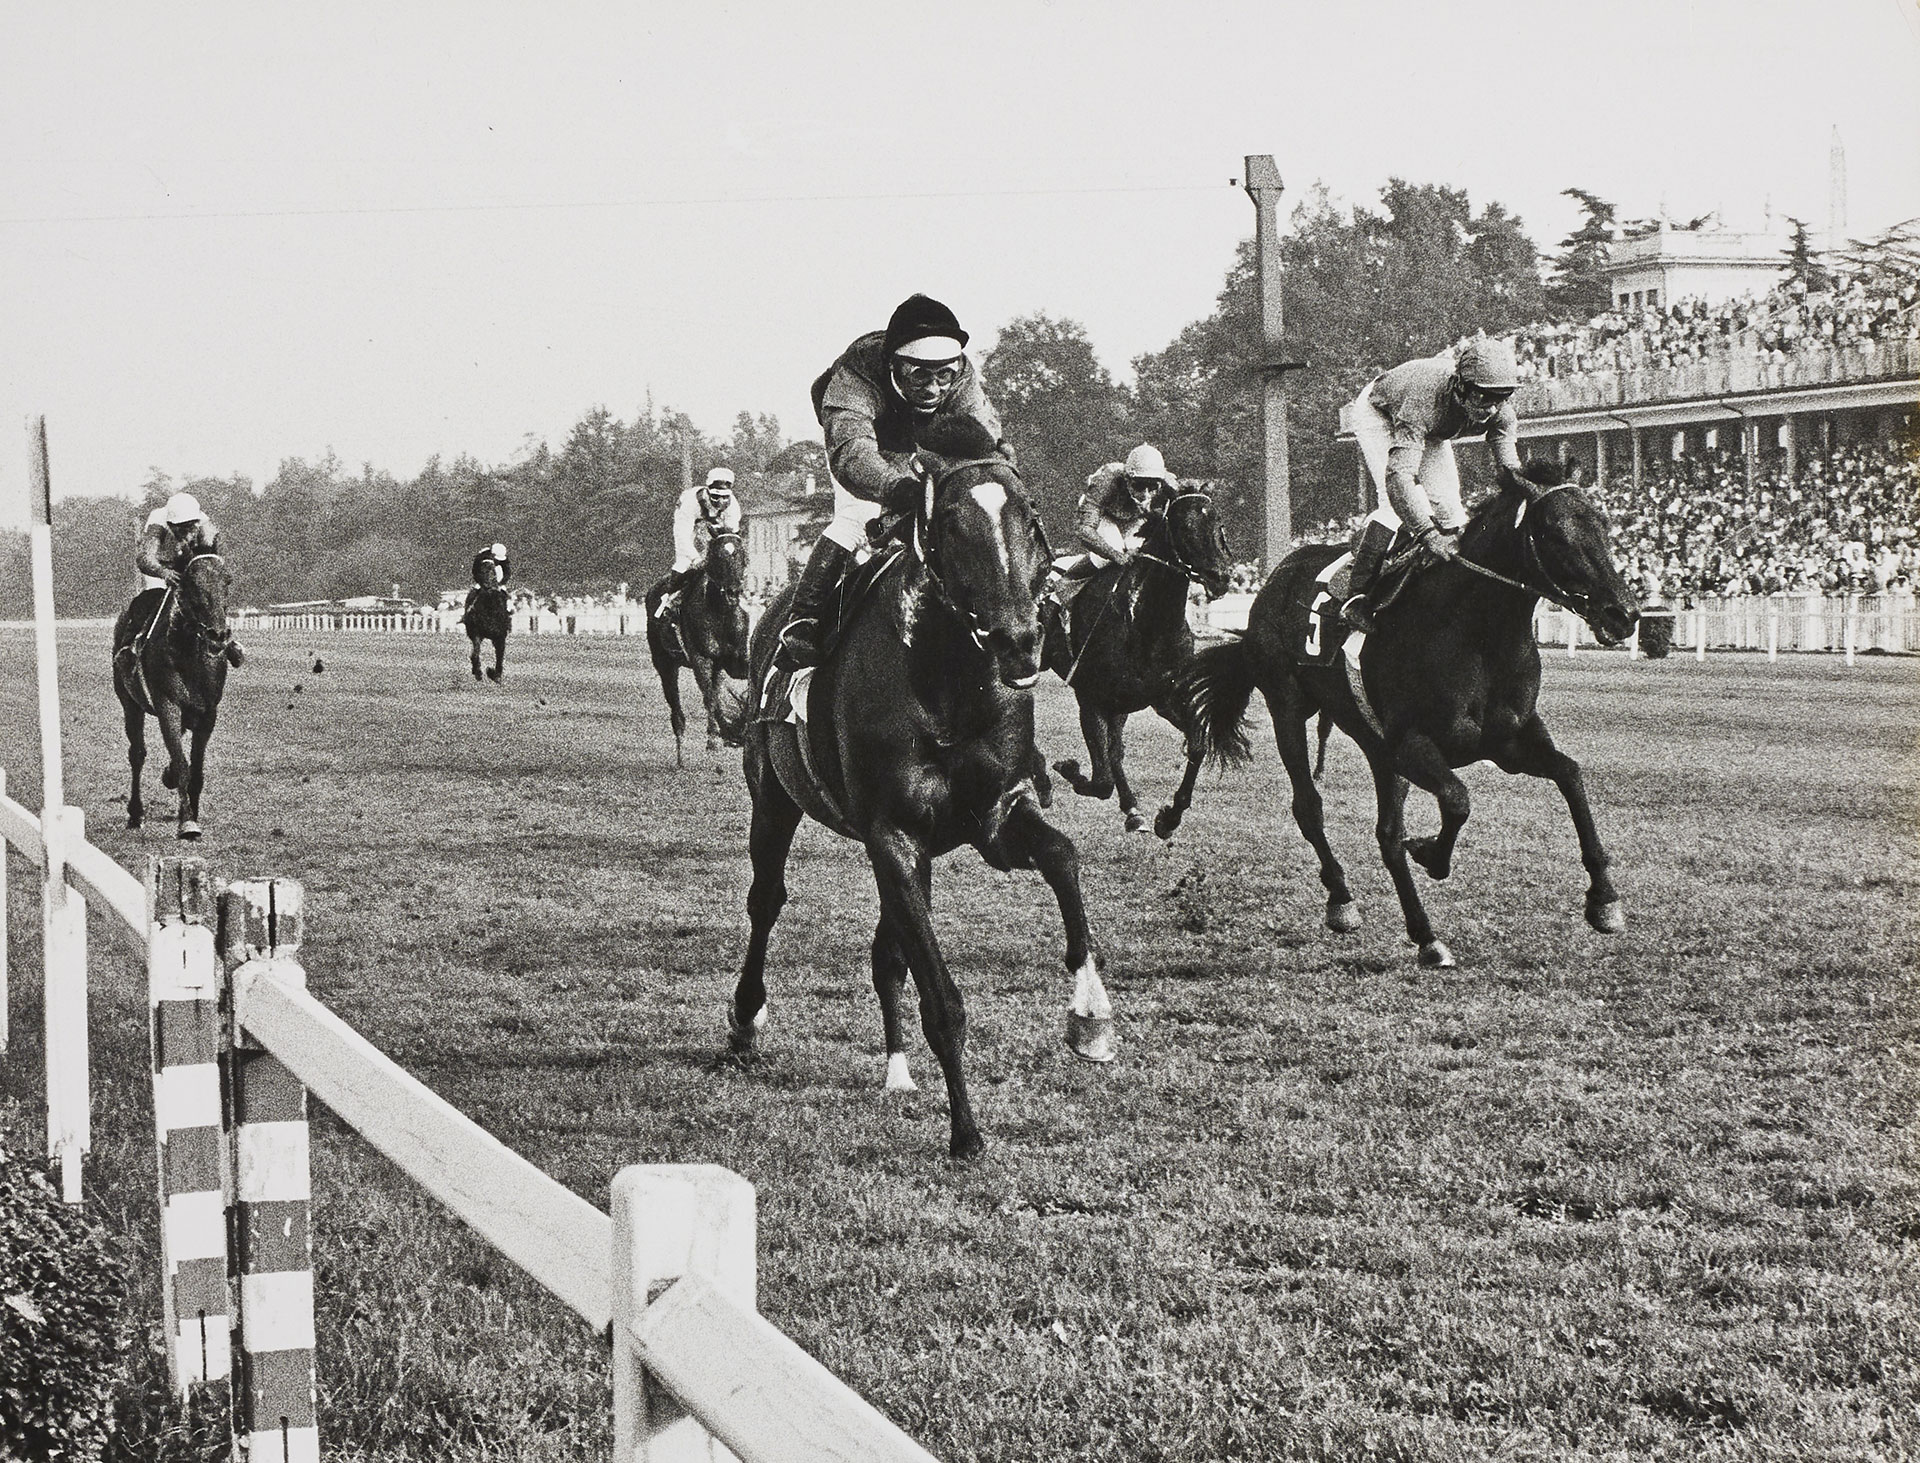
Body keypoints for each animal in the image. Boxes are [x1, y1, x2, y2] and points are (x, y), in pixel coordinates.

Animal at [114, 552, 236, 837]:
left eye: (227, 581)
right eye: (191, 584)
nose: (218, 635)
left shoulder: (208, 714)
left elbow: (196, 769)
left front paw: (192, 810)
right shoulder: (168, 705)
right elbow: (182, 764)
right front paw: (187, 821)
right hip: (129, 702)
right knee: (137, 753)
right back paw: (135, 813)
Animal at [645, 526, 748, 764]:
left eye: (741, 554)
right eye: (718, 556)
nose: (733, 592)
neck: (720, 612)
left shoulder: (735, 661)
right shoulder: (700, 659)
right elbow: (710, 698)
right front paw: (716, 738)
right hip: (664, 663)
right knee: (676, 707)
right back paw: (680, 754)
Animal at [725, 410, 1113, 1151]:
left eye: (1028, 514)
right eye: (953, 524)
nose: (1021, 640)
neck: (947, 682)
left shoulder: (992, 816)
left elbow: (1063, 856)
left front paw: (1090, 1014)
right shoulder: (895, 836)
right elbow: (942, 998)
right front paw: (966, 1132)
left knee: (887, 951)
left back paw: (897, 1071)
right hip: (773, 799)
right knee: (766, 899)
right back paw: (745, 1019)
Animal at [1044, 487, 1236, 825]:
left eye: (1218, 522)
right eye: (1184, 527)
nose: (1220, 578)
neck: (1143, 621)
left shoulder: (1162, 697)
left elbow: (1197, 745)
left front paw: (1169, 817)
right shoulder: (1091, 698)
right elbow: (1101, 778)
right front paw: (1068, 768)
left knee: (1115, 751)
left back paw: (1132, 809)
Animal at [1159, 460, 1643, 963]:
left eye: (1605, 524)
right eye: (1554, 533)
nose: (1624, 614)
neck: (1477, 633)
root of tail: (1278, 575)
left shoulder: (1508, 741)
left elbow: (1570, 774)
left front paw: (1604, 900)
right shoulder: (1410, 743)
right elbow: (1457, 799)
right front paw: (1430, 853)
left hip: (1374, 746)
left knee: (1387, 834)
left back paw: (1426, 935)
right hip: (1288, 706)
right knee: (1310, 807)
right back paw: (1343, 899)